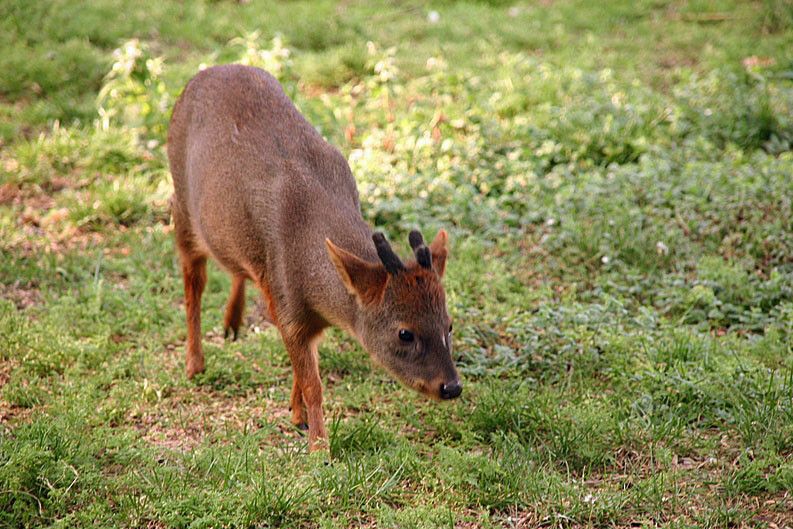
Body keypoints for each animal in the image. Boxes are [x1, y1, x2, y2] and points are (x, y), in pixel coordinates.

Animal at [170, 64, 460, 448]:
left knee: (234, 268)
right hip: (181, 208)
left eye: (449, 324)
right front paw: (319, 445)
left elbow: (305, 368)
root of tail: (206, 73)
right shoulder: (289, 307)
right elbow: (314, 384)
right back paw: (195, 363)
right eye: (404, 333)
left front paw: (298, 417)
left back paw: (233, 321)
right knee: (194, 282)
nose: (452, 386)